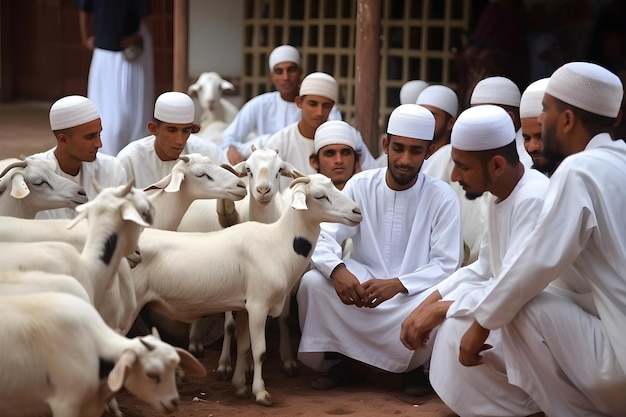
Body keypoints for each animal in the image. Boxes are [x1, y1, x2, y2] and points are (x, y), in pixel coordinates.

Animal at [127, 174, 360, 404]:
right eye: (320, 196)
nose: (357, 212)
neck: (278, 243)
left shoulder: (243, 308)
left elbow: (243, 347)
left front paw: (239, 386)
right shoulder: (258, 306)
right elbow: (259, 352)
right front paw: (261, 393)